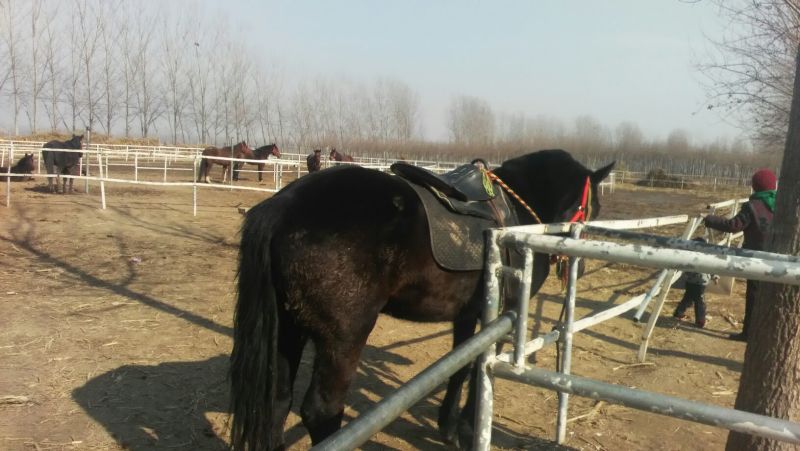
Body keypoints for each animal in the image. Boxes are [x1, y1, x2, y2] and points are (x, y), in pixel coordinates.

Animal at [230, 149, 614, 450]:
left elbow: (460, 367)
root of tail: (283, 206)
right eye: (593, 206)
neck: (519, 215)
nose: (578, 267)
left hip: (288, 329)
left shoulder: (468, 316)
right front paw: (468, 430)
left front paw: (447, 426)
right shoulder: (503, 315)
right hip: (343, 339)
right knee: (321, 412)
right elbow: (480, 369)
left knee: (278, 402)